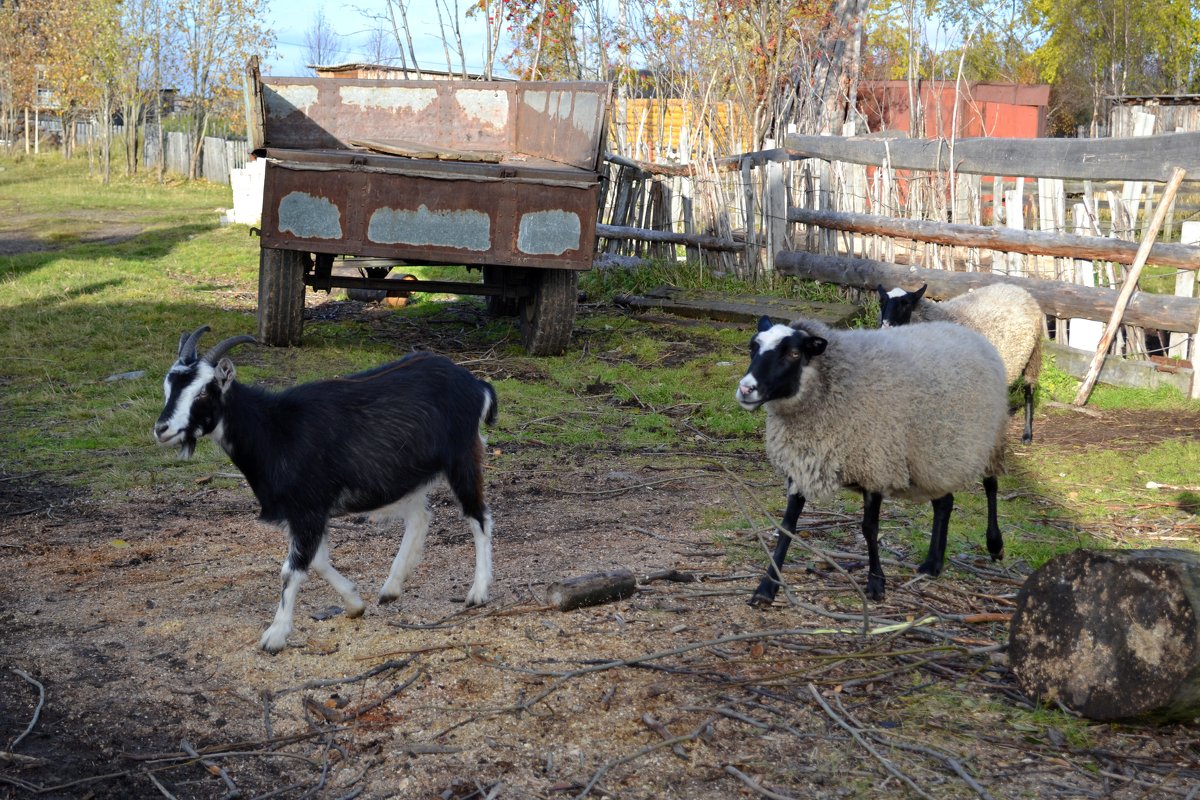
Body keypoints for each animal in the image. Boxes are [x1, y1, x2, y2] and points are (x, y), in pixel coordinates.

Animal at [153, 326, 496, 652]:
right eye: (169, 388)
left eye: (203, 392)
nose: (161, 429)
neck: (274, 430)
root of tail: (476, 384)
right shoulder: (303, 514)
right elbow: (315, 560)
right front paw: (355, 603)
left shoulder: (309, 508)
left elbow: (291, 570)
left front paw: (275, 636)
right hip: (403, 475)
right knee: (420, 517)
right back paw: (392, 588)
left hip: (462, 457)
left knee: (479, 517)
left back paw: (478, 592)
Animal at [734, 316, 1008, 604]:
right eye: (753, 346)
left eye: (794, 354)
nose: (746, 389)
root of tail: (967, 332)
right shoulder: (802, 464)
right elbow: (787, 525)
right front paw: (766, 587)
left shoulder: (875, 463)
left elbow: (869, 528)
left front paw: (876, 583)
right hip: (932, 455)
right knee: (944, 503)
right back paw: (933, 564)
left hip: (990, 436)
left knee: (991, 485)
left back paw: (995, 544)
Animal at [883, 281, 1041, 443]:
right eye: (882, 301)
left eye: (906, 304)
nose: (886, 325)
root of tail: (1014, 287)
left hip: (1033, 355)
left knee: (1029, 392)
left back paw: (1027, 435)